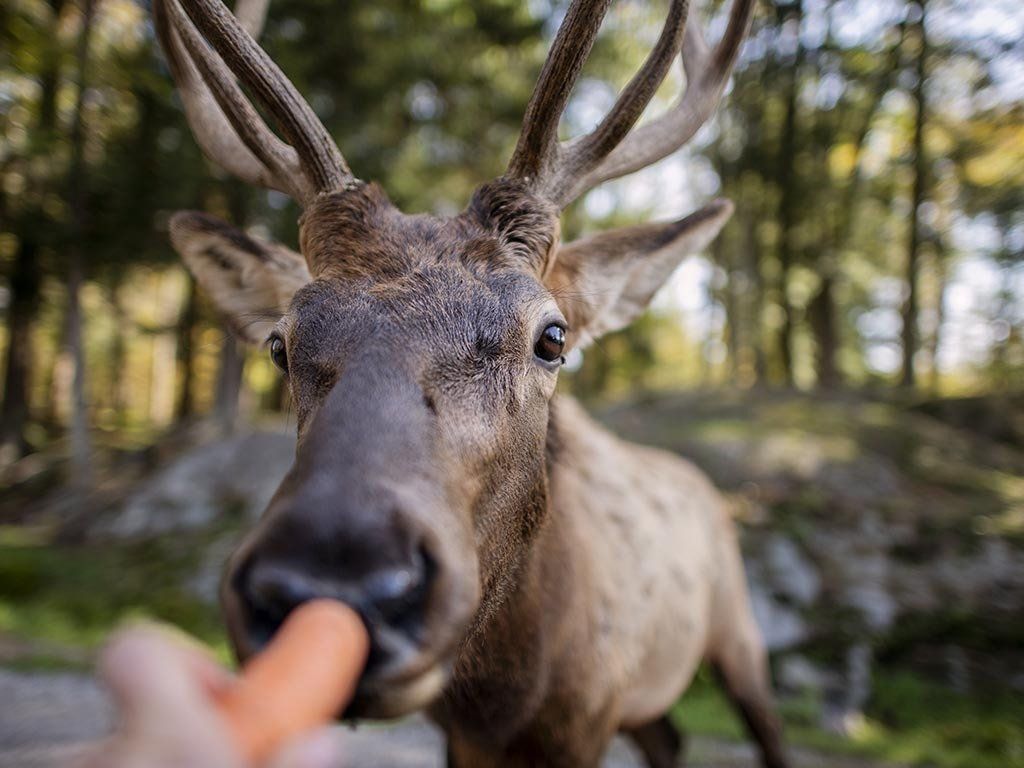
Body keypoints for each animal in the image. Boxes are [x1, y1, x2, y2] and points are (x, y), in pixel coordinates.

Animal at [155, 0, 786, 765]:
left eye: (553, 338)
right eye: (279, 343)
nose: (337, 578)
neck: (504, 699)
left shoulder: (586, 722)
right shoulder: (463, 739)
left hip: (739, 636)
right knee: (669, 737)